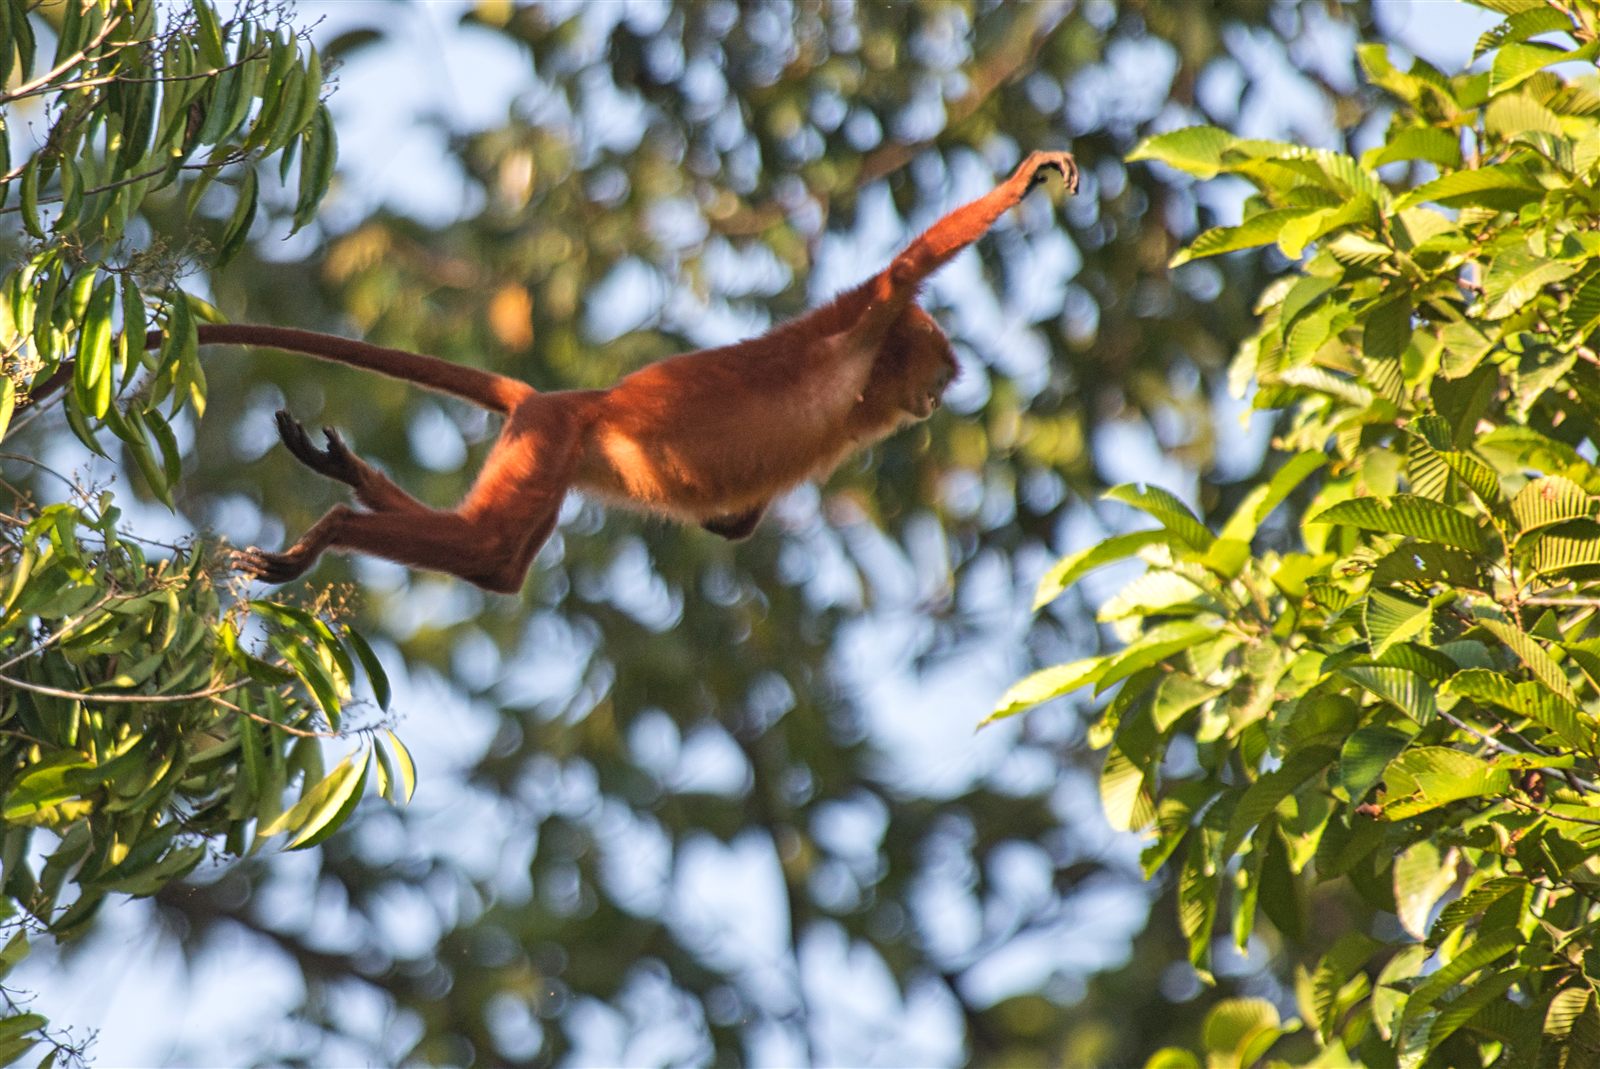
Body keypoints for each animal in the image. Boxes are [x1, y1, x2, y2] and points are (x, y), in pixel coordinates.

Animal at [38, 151, 1078, 592]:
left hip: (551, 446)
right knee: (494, 552)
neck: (864, 387)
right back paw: (334, 527)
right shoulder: (861, 321)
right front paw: (1026, 177)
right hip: (550, 440)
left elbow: (731, 523)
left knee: (496, 558)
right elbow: (909, 265)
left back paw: (349, 483)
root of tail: (562, 396)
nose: (941, 391)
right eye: (940, 363)